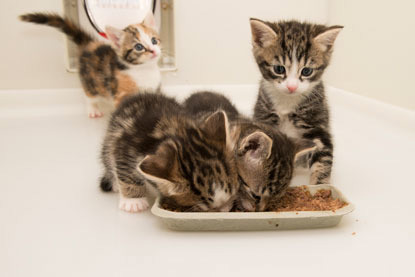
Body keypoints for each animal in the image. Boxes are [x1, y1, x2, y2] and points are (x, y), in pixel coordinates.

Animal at [20, 11, 162, 117]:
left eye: (154, 40)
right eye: (139, 47)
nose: (154, 50)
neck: (144, 69)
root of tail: (90, 44)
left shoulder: (154, 88)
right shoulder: (121, 94)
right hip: (90, 82)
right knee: (88, 95)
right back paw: (93, 109)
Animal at [100, 92, 240, 211]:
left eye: (233, 195)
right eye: (209, 209)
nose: (226, 210)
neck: (174, 131)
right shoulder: (127, 146)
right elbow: (126, 170)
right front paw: (134, 202)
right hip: (110, 139)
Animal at [249, 18, 342, 184]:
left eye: (307, 71)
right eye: (279, 69)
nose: (292, 86)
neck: (287, 101)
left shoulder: (318, 124)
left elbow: (323, 157)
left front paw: (319, 185)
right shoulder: (264, 115)